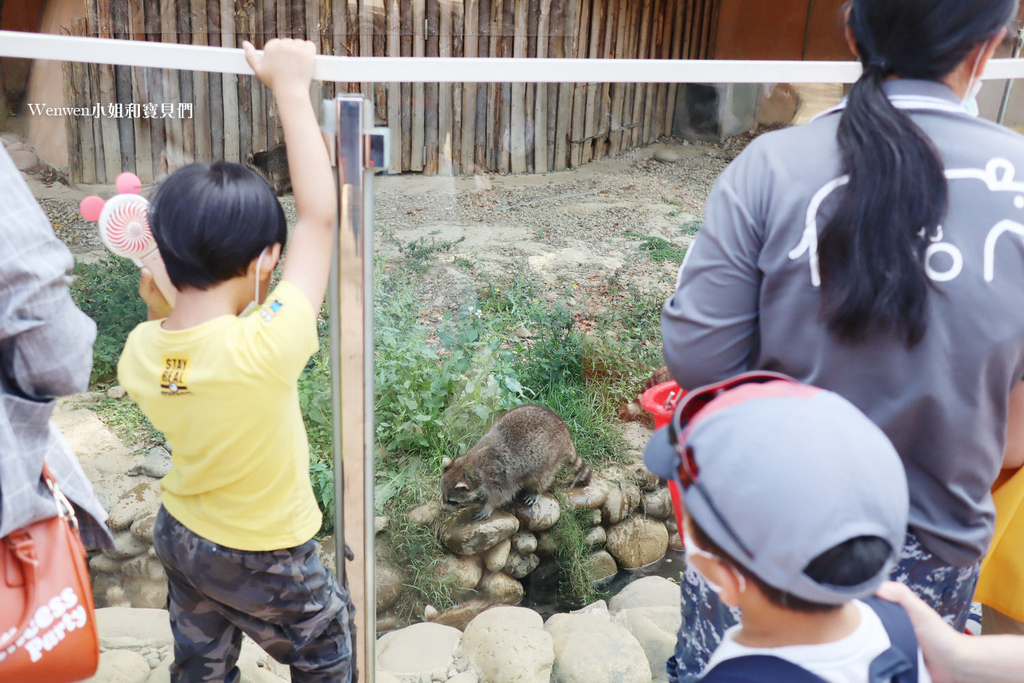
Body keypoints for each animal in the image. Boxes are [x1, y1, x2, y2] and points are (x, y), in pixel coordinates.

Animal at [440, 403, 593, 520]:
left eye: (452, 501)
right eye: (443, 496)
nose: (442, 509)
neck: (468, 464)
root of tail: (564, 432)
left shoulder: (498, 477)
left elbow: (501, 495)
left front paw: (488, 507)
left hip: (548, 458)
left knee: (541, 477)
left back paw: (536, 491)